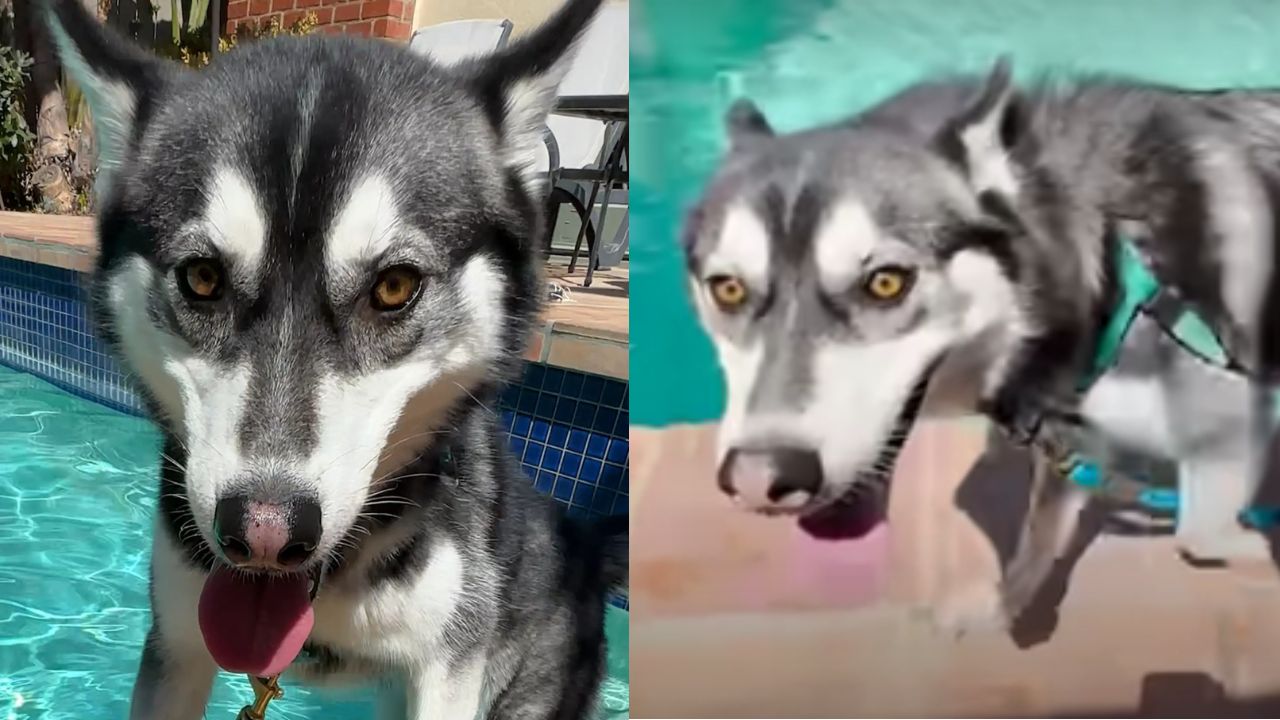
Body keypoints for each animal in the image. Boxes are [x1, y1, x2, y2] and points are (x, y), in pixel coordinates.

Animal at [47, 0, 627, 712]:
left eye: (395, 286)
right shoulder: (178, 647)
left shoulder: (448, 671)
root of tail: (584, 544)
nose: (265, 533)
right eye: (202, 278)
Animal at [686, 61, 1280, 630]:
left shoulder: (1233, 413)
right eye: (728, 288)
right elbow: (1038, 536)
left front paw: (1250, 549)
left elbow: (1195, 535)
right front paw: (1004, 606)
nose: (760, 479)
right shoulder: (1066, 442)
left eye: (885, 282)